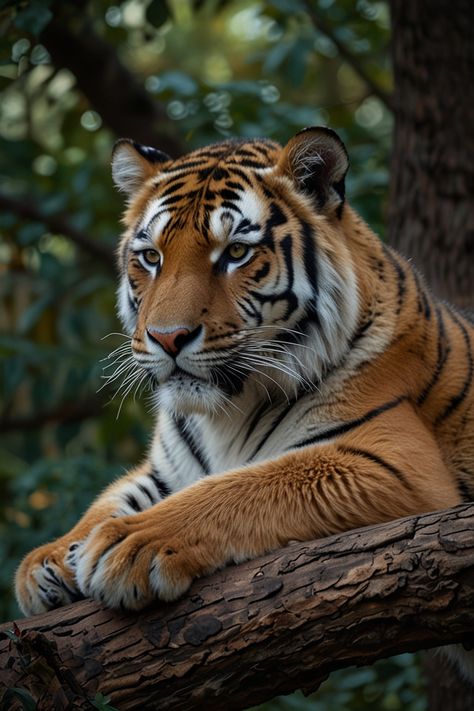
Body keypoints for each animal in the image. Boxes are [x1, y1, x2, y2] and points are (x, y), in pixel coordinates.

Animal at [15, 126, 474, 656]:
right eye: (151, 258)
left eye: (235, 253)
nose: (168, 337)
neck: (225, 411)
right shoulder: (166, 471)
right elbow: (110, 498)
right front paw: (48, 560)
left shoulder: (398, 461)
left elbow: (246, 484)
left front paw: (128, 543)